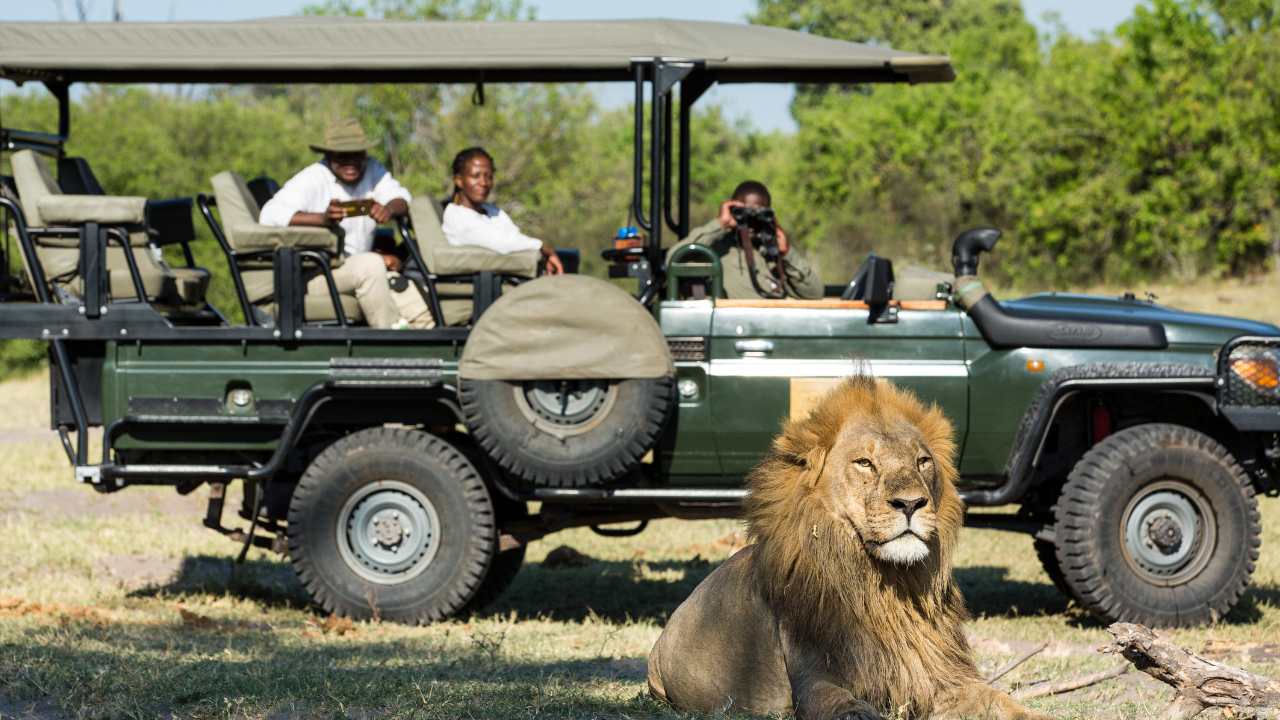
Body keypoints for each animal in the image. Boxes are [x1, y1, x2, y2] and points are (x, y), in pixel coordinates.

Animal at [647, 377, 1052, 720]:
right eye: (865, 463)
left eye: (922, 461)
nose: (911, 503)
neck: (887, 586)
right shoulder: (814, 679)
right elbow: (849, 708)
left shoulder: (939, 675)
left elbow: (1002, 701)